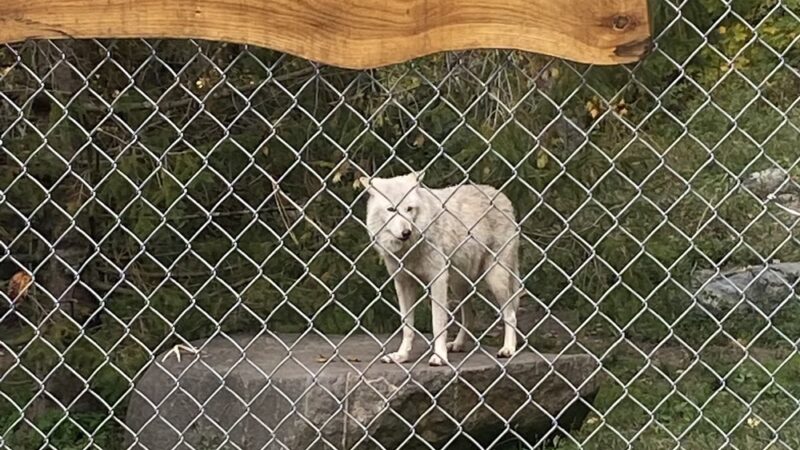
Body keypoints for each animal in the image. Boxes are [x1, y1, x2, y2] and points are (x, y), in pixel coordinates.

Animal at [359, 171, 522, 366]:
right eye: (391, 210)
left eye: (409, 209)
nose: (406, 232)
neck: (410, 250)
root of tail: (501, 196)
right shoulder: (403, 283)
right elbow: (407, 326)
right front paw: (402, 355)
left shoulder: (437, 280)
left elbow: (437, 324)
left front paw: (439, 357)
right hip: (458, 285)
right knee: (470, 315)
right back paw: (458, 345)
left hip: (495, 279)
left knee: (510, 313)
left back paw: (508, 349)